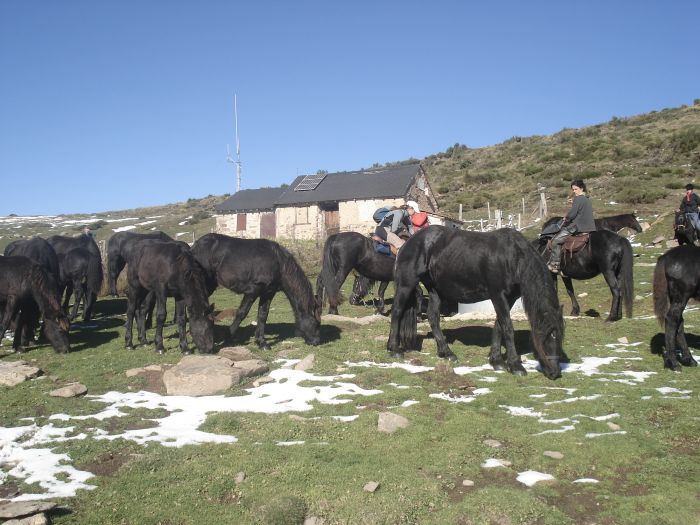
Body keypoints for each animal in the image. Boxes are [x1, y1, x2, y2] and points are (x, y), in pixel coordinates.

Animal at [191, 232, 322, 348]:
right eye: (316, 323)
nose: (316, 341)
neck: (278, 262)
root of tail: (195, 244)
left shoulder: (268, 293)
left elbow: (263, 315)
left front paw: (261, 342)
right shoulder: (253, 291)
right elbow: (242, 313)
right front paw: (228, 338)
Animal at [386, 224, 568, 376]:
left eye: (560, 336)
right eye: (548, 335)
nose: (555, 372)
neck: (512, 257)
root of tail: (408, 242)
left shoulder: (510, 297)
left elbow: (499, 326)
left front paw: (496, 361)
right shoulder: (498, 295)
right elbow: (507, 327)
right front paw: (515, 365)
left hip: (435, 289)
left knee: (433, 317)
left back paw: (446, 352)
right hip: (406, 284)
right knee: (397, 312)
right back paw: (394, 349)